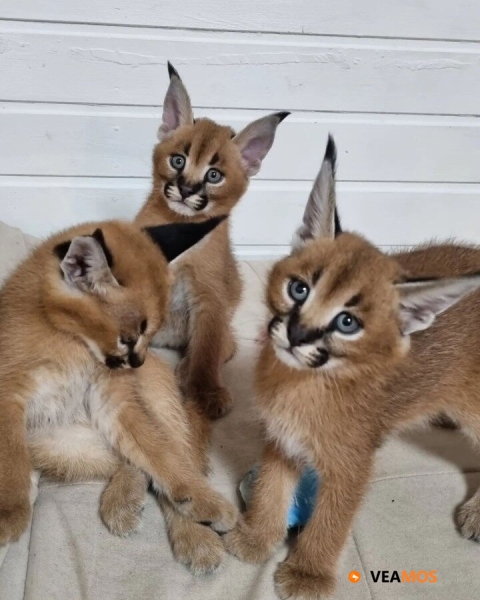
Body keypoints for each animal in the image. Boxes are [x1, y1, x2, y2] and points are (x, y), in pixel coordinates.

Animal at [0, 216, 239, 572]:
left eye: (151, 334)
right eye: (128, 337)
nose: (137, 363)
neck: (72, 341)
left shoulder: (114, 398)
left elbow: (159, 453)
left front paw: (203, 504)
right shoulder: (9, 393)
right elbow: (10, 456)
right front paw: (9, 513)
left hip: (156, 401)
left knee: (172, 453)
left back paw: (194, 535)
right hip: (55, 443)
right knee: (127, 461)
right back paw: (126, 501)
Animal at [133, 61, 286, 418]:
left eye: (214, 176)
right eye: (178, 160)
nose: (187, 189)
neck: (179, 222)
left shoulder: (209, 294)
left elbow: (207, 347)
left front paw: (205, 391)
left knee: (220, 346)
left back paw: (186, 369)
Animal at [225, 137, 480, 600]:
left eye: (348, 323)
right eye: (299, 289)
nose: (297, 334)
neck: (303, 382)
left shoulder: (351, 462)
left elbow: (331, 518)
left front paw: (307, 574)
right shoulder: (282, 436)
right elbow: (271, 487)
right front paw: (256, 538)